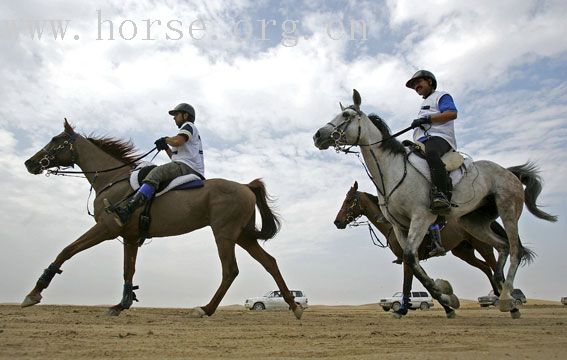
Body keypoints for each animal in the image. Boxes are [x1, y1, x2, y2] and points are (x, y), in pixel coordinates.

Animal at [22, 121, 304, 320]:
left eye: (55, 140)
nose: (28, 163)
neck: (112, 180)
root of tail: (245, 186)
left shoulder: (106, 228)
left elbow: (67, 250)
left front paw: (34, 293)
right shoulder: (130, 238)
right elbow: (128, 270)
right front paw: (121, 305)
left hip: (224, 234)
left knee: (230, 270)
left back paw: (205, 309)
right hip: (242, 236)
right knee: (269, 262)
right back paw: (294, 306)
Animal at [336, 181, 500, 294]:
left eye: (348, 200)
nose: (337, 222)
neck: (393, 226)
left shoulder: (408, 260)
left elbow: (408, 284)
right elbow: (423, 282)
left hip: (483, 246)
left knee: (493, 265)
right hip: (464, 252)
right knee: (486, 267)